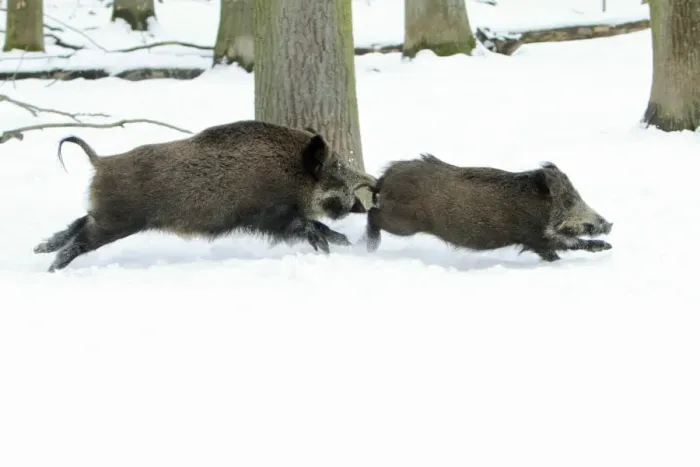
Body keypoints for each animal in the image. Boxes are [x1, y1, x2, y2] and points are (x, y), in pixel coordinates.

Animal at [33, 120, 378, 272]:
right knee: (79, 238)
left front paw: (343, 245)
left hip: (107, 215)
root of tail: (100, 161)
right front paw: (337, 246)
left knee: (77, 223)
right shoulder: (270, 216)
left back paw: (40, 249)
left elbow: (313, 225)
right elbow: (310, 226)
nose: (365, 200)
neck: (291, 172)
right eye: (335, 167)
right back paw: (52, 269)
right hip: (116, 220)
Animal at [364, 153, 613, 262]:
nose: (609, 224)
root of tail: (384, 178)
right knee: (372, 214)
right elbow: (566, 244)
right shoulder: (534, 236)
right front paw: (607, 247)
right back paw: (368, 247)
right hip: (402, 223)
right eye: (569, 200)